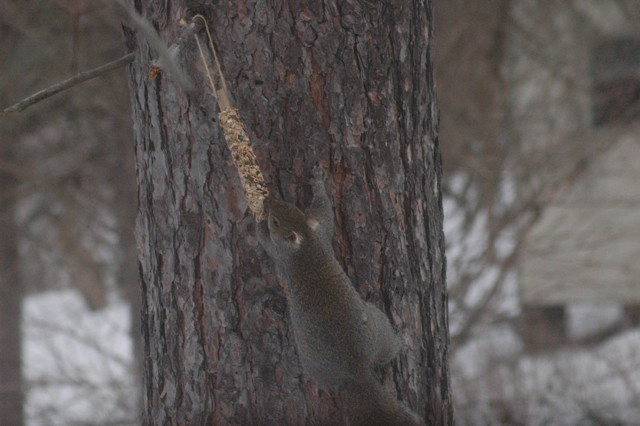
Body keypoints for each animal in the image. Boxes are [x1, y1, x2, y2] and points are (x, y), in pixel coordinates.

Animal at [257, 166, 422, 425]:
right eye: (285, 207)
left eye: (276, 220)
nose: (268, 201)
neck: (305, 241)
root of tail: (356, 372)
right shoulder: (320, 232)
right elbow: (326, 213)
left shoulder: (285, 252)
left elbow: (319, 213)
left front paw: (257, 226)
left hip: (337, 349)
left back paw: (403, 339)